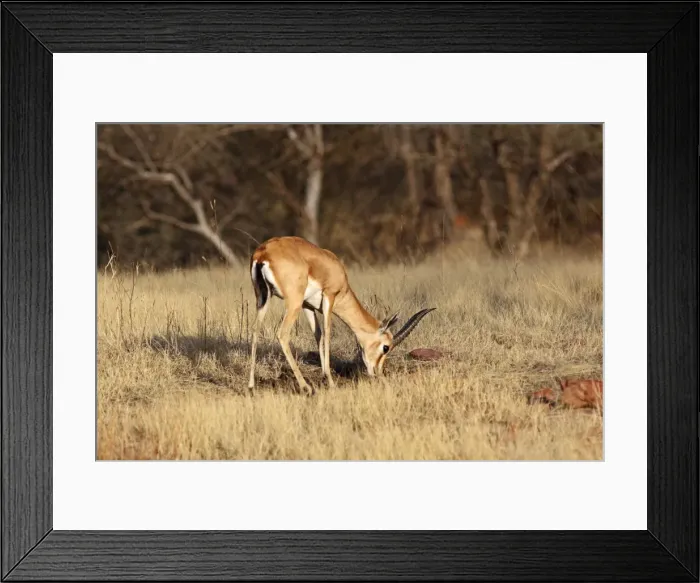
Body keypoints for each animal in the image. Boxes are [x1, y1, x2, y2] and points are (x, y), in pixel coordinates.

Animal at [248, 236, 435, 395]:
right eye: (386, 347)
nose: (377, 373)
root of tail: (263, 253)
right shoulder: (329, 297)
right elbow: (328, 334)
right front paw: (331, 382)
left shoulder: (308, 306)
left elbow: (318, 335)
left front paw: (324, 375)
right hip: (293, 302)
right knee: (282, 334)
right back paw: (306, 387)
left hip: (262, 299)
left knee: (255, 331)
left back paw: (251, 386)